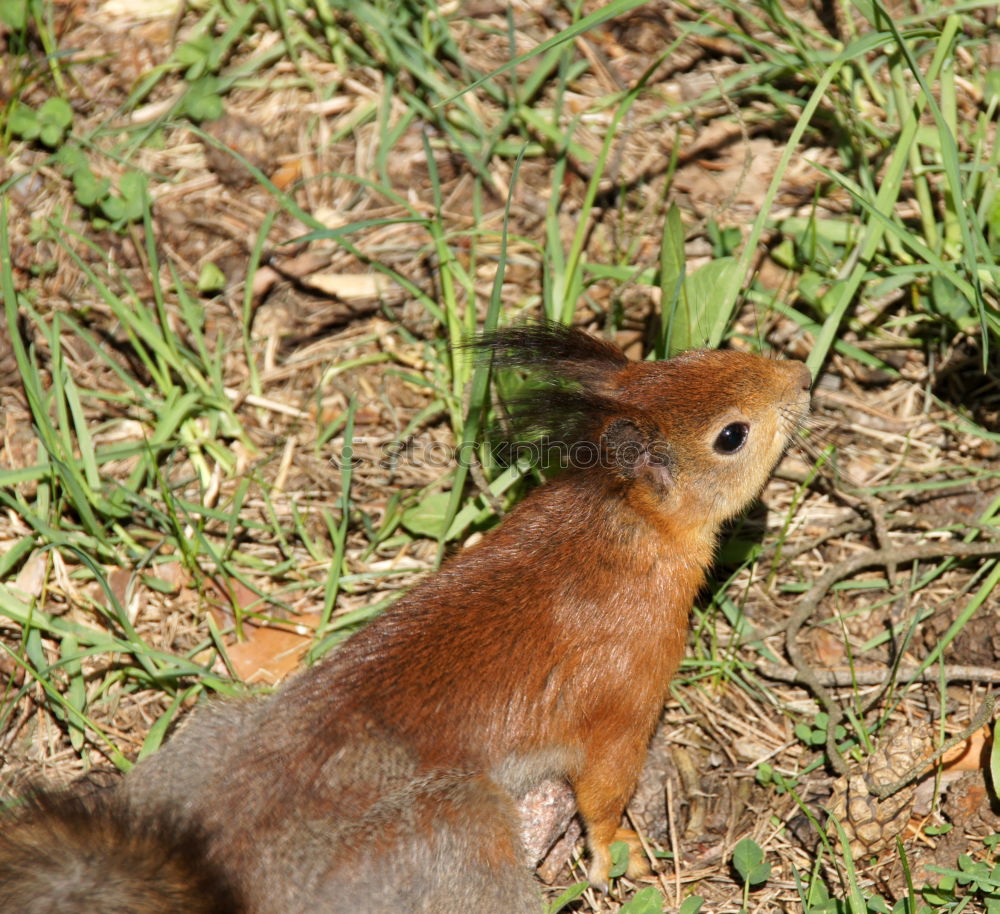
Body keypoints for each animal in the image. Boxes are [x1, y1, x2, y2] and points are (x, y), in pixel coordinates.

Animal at [0, 324, 812, 912]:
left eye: (705, 353)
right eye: (732, 436)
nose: (802, 377)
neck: (619, 527)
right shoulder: (624, 693)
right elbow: (605, 792)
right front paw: (621, 853)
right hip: (457, 830)